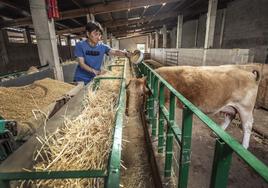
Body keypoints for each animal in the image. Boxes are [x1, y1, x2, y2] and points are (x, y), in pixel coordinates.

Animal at [126, 64, 264, 148]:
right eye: (127, 92)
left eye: (141, 94)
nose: (128, 112)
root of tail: (249, 73)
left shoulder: (167, 103)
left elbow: (163, 120)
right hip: (230, 106)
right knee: (229, 117)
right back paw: (216, 133)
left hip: (245, 108)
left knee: (247, 125)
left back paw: (244, 146)